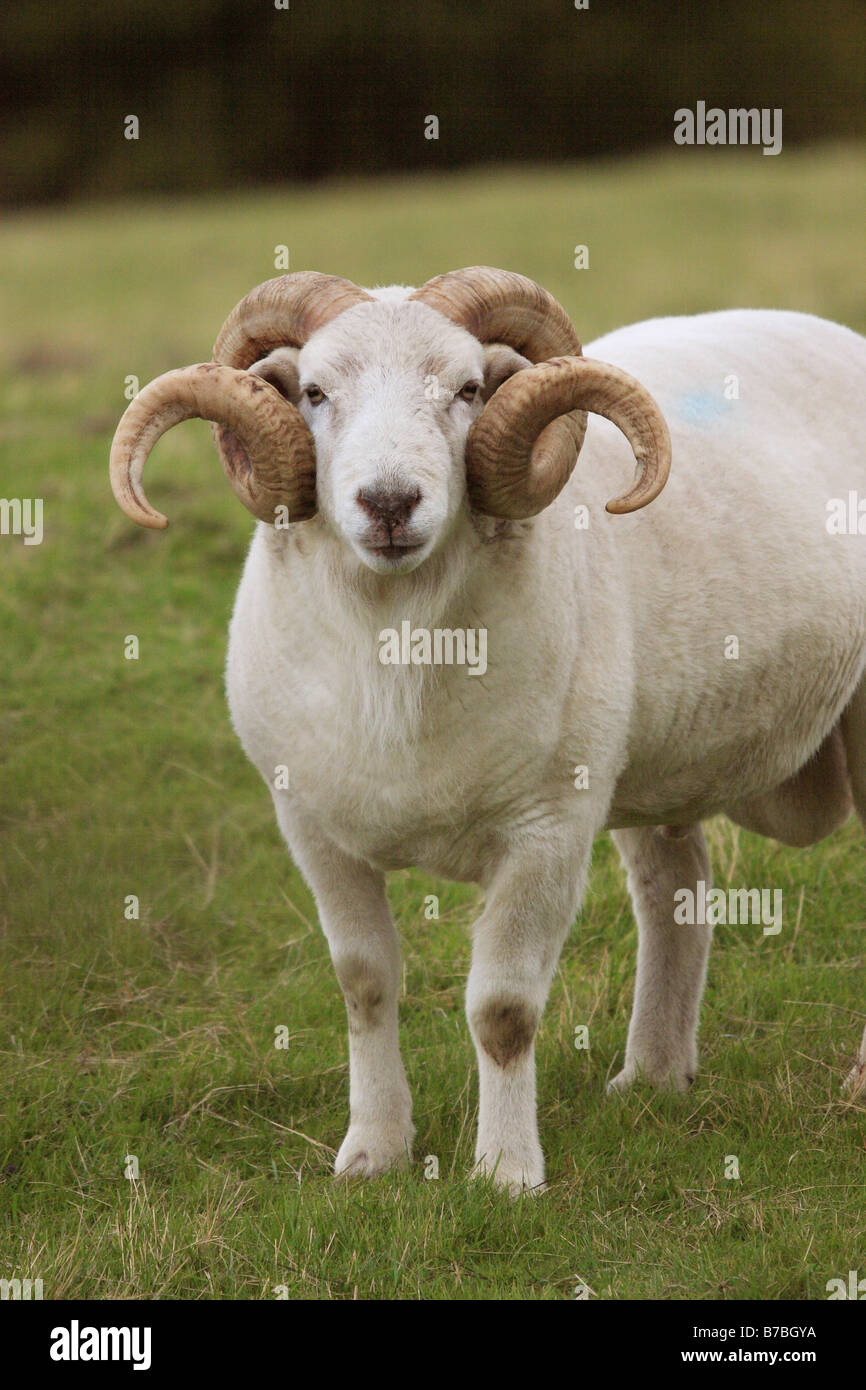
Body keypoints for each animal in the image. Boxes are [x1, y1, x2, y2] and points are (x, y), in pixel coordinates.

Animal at [110, 267, 866, 1193]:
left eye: (469, 389)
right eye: (316, 392)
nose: (388, 502)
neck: (399, 657)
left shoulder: (546, 833)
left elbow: (502, 1011)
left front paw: (506, 1173)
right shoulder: (313, 831)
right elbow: (363, 983)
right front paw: (373, 1152)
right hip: (645, 760)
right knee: (674, 893)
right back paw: (651, 1077)